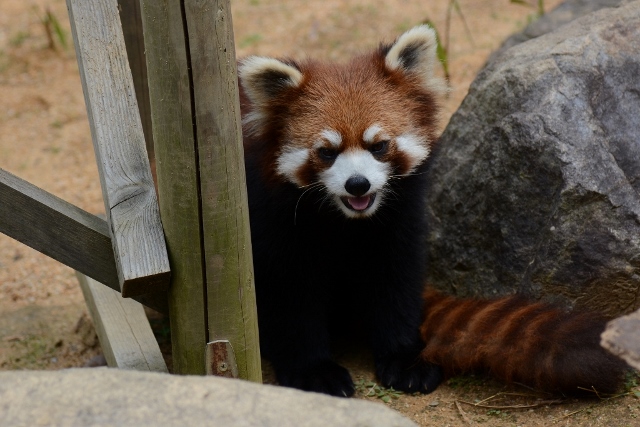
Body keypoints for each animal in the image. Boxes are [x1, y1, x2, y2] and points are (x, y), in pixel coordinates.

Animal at [238, 23, 628, 398]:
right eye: (327, 152)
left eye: (379, 146)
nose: (357, 184)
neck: (345, 220)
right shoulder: (270, 219)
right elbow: (290, 298)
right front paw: (313, 370)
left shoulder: (399, 219)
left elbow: (396, 280)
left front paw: (404, 357)